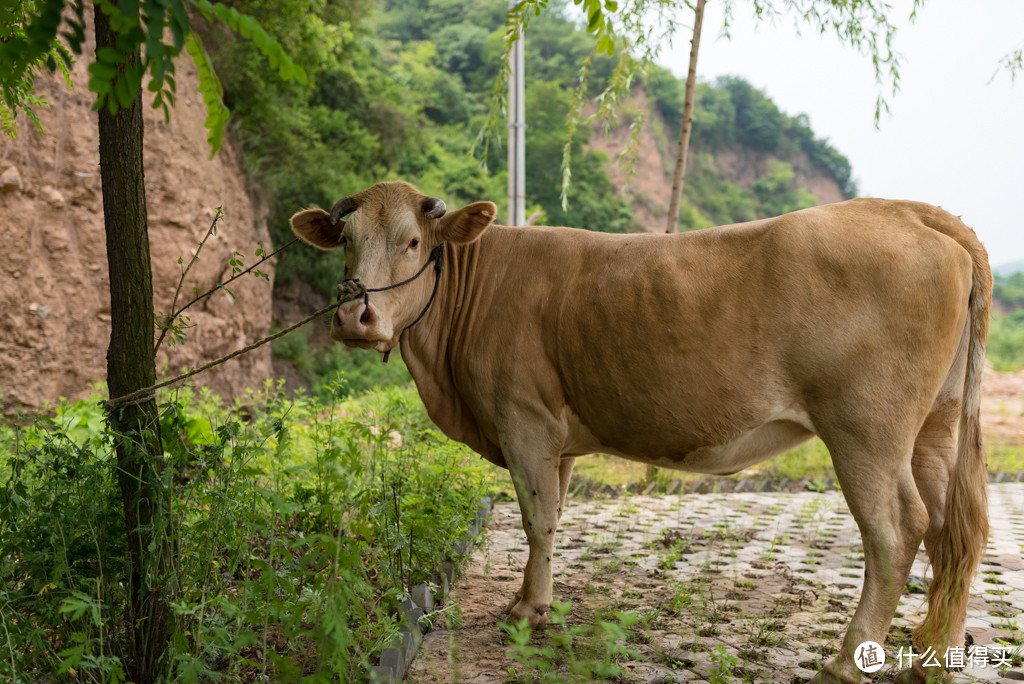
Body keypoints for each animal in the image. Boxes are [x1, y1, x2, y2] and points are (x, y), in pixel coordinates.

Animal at [290, 181, 991, 684]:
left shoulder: (523, 421)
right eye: (346, 240)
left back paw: (846, 663)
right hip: (935, 423)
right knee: (952, 531)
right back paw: (932, 654)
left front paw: (527, 612)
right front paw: (533, 598)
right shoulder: (558, 437)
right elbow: (552, 516)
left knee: (898, 530)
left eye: (413, 242)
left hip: (865, 427)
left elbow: (535, 519)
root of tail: (911, 211)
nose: (354, 315)